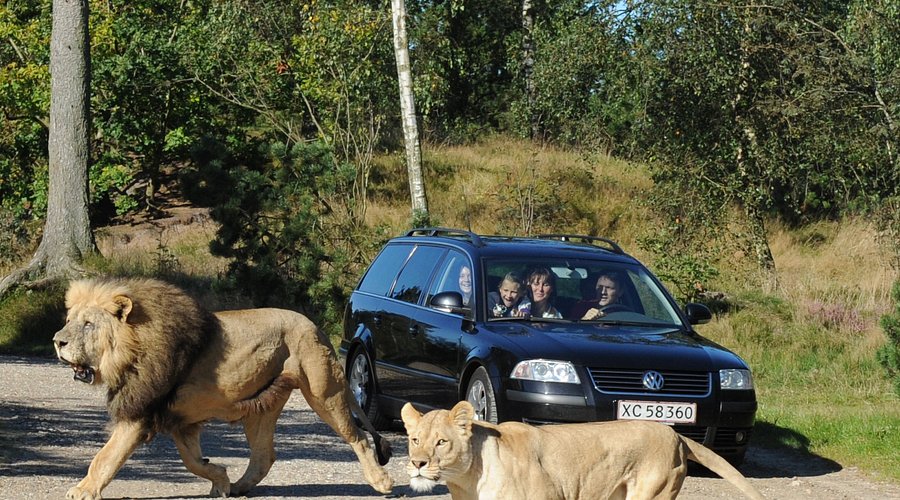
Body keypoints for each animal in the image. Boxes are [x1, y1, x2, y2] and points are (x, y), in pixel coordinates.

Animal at [52, 277, 393, 500]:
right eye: (69, 320)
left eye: (88, 324)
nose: (57, 341)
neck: (129, 349)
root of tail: (316, 327)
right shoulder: (180, 421)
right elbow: (191, 461)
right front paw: (221, 479)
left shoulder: (139, 414)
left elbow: (105, 457)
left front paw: (82, 490)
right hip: (261, 408)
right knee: (264, 456)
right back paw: (241, 487)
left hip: (325, 392)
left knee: (359, 437)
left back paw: (381, 482)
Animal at [401, 401, 765, 500]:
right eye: (415, 440)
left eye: (441, 442)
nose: (416, 463)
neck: (469, 480)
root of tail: (674, 433)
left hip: (652, 492)